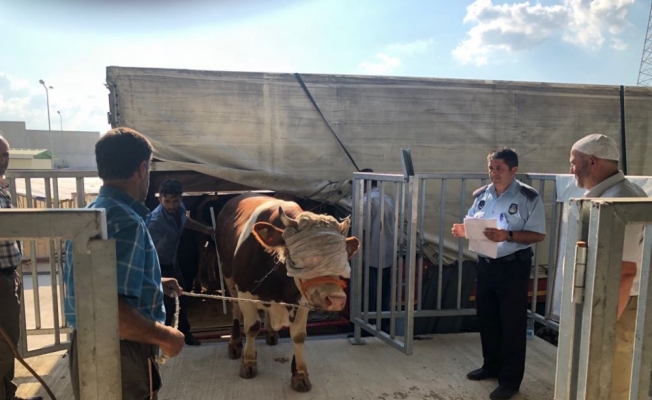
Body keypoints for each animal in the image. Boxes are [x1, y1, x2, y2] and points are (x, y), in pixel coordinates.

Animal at [216, 193, 360, 390]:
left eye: (341, 259)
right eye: (302, 257)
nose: (336, 299)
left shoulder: (303, 301)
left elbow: (298, 336)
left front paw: (299, 374)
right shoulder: (245, 293)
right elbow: (252, 328)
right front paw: (248, 362)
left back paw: (270, 333)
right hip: (228, 275)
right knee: (236, 310)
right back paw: (235, 344)